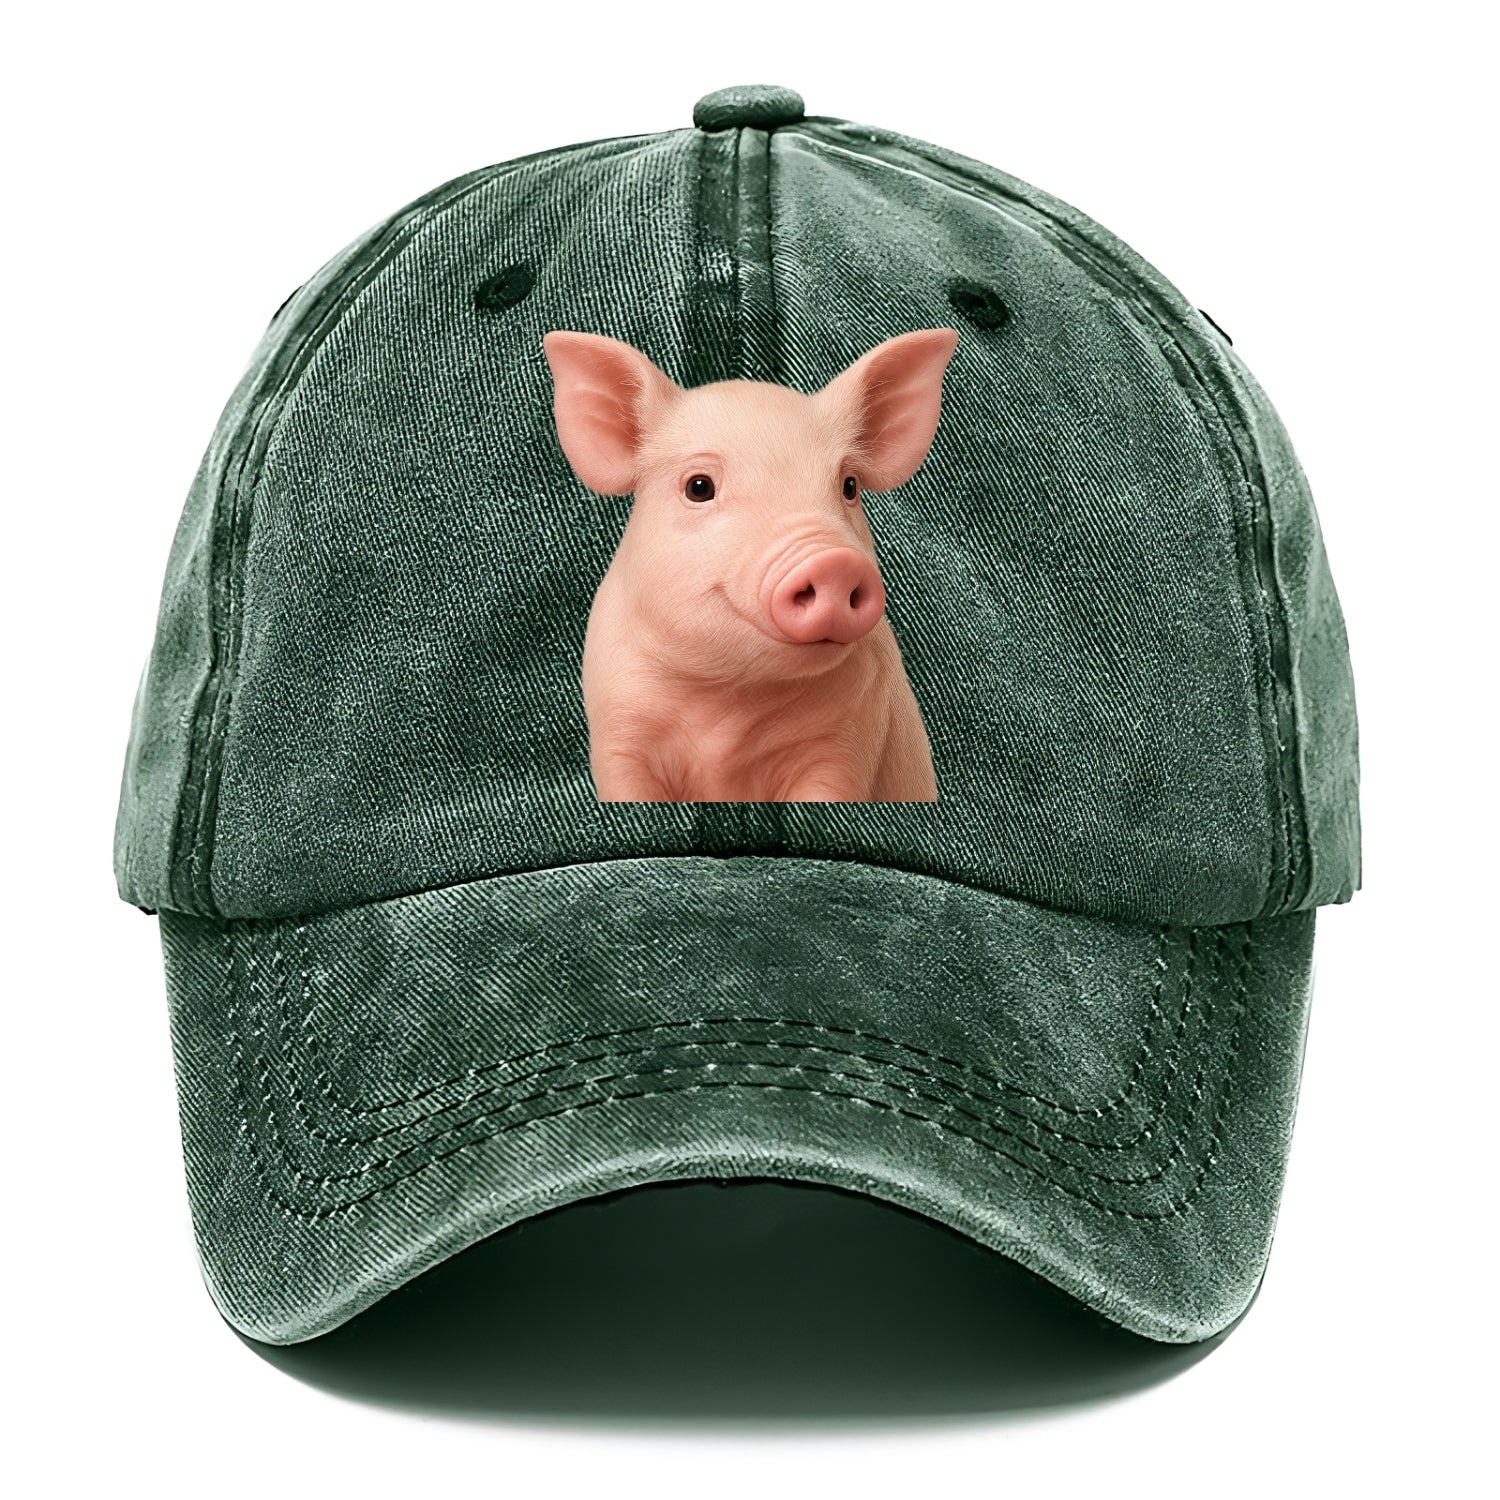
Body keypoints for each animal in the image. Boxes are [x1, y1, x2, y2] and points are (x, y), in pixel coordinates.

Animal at [541, 327, 959, 802]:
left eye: (849, 486)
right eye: (699, 487)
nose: (834, 563)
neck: (729, 700)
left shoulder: (846, 744)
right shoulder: (618, 732)